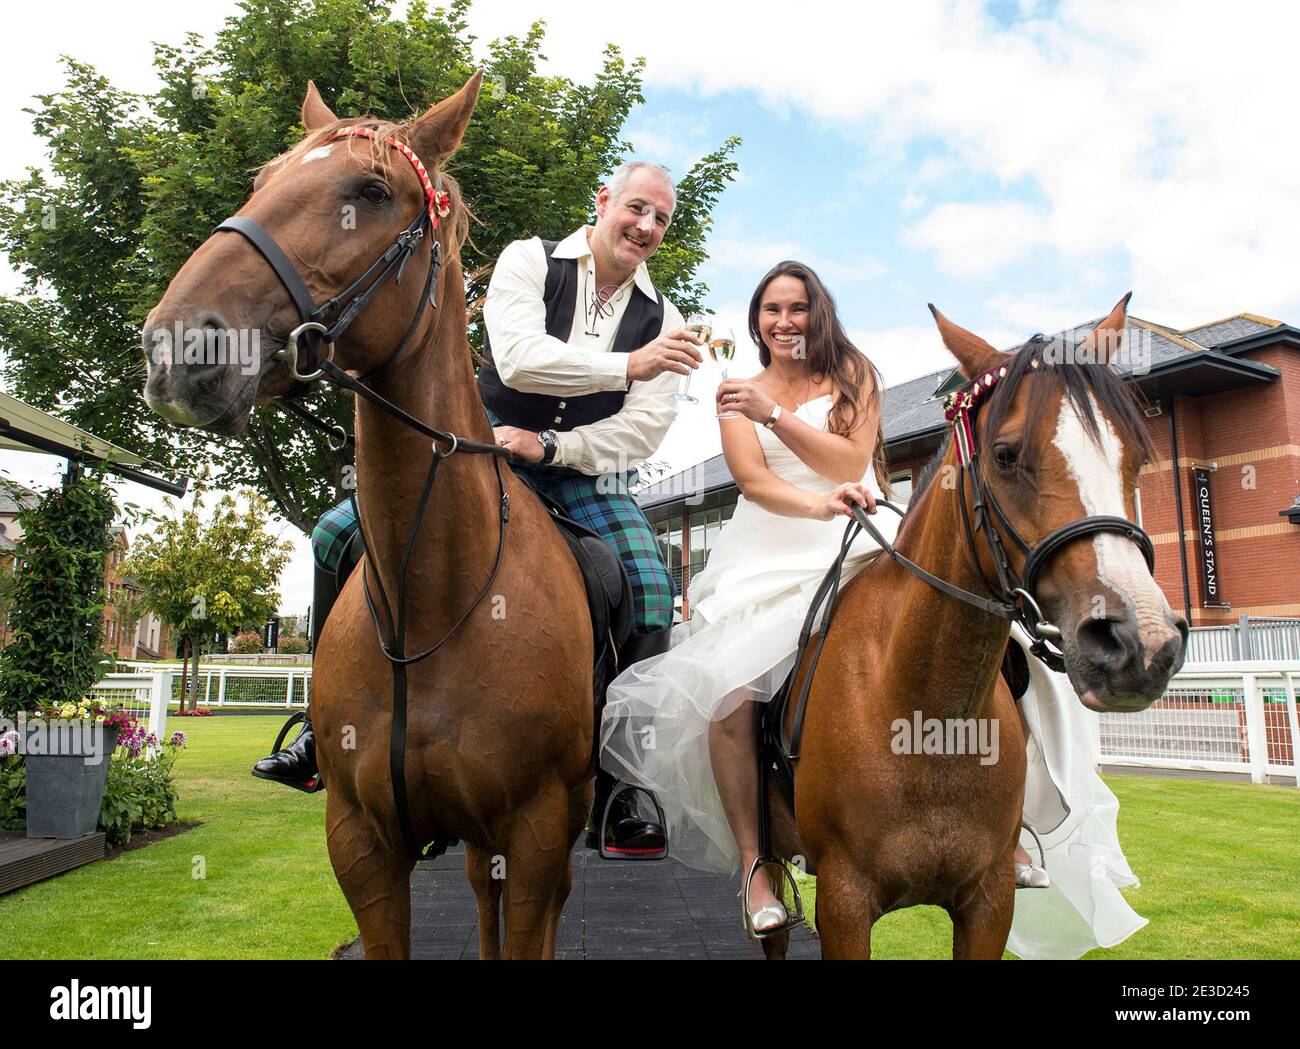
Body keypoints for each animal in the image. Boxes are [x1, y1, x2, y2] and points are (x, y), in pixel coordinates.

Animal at [142, 73, 598, 961]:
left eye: (373, 191)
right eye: (261, 181)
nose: (178, 346)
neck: (439, 600)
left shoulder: (534, 836)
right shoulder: (361, 841)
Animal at [759, 298, 1190, 961]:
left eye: (1136, 459)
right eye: (1006, 454)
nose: (1140, 645)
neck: (927, 714)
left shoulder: (989, 901)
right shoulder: (843, 905)